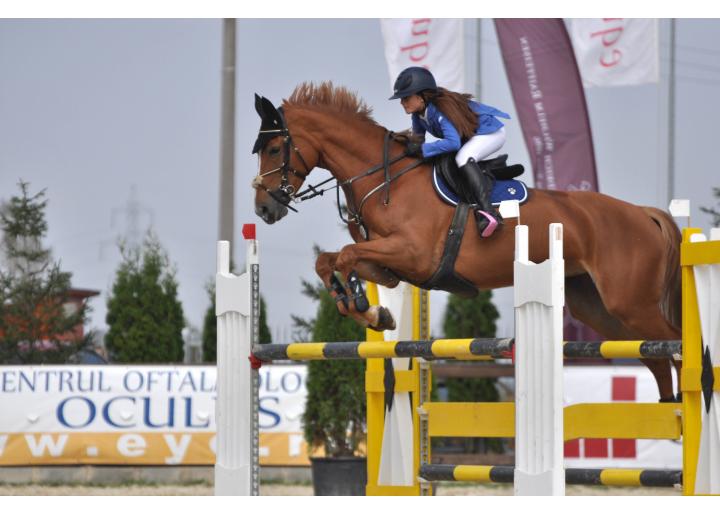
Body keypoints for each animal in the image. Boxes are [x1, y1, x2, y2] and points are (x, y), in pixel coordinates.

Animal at [252, 82, 680, 400]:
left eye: (273, 148)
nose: (263, 209)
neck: (386, 180)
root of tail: (644, 213)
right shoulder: (390, 267)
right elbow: (330, 260)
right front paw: (369, 310)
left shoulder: (414, 254)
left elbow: (344, 255)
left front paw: (362, 305)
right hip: (599, 307)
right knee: (657, 358)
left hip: (631, 303)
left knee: (675, 345)